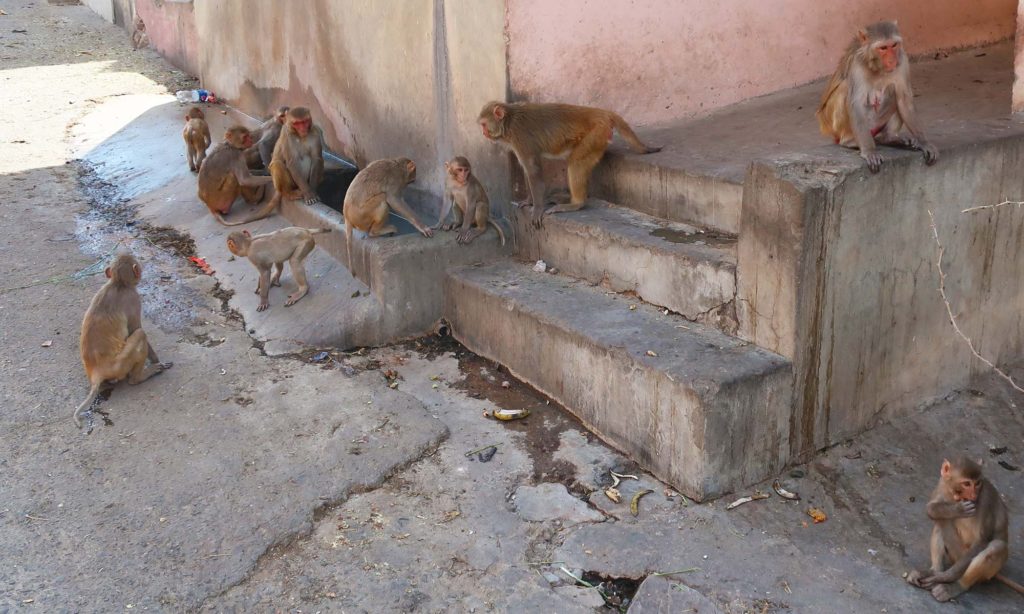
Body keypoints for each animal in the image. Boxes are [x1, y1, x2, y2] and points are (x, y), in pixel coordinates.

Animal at [74, 252, 172, 429]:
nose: (141, 272)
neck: (117, 283)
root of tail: (97, 372)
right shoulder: (133, 298)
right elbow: (135, 328)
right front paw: (156, 361)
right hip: (120, 364)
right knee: (140, 334)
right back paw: (139, 377)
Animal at [477, 101, 661, 228]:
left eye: (484, 124)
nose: (484, 133)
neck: (509, 121)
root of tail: (603, 113)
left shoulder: (520, 138)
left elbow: (533, 169)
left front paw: (537, 208)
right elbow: (527, 169)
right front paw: (529, 200)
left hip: (595, 134)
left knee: (576, 162)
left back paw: (575, 203)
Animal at [816, 21, 938, 173]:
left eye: (894, 45)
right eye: (883, 48)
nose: (892, 59)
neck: (877, 66)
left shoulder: (902, 60)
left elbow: (904, 99)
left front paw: (924, 142)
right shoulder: (857, 65)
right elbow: (856, 104)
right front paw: (869, 151)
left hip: (876, 123)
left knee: (894, 90)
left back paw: (890, 137)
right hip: (838, 125)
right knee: (845, 88)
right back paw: (849, 141)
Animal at [906, 457, 1024, 601]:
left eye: (977, 483)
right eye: (967, 484)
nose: (973, 494)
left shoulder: (985, 499)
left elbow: (981, 542)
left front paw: (945, 577)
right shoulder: (942, 485)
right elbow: (931, 508)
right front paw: (958, 509)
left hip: (974, 562)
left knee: (996, 547)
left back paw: (955, 586)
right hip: (955, 555)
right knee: (940, 522)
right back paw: (934, 570)